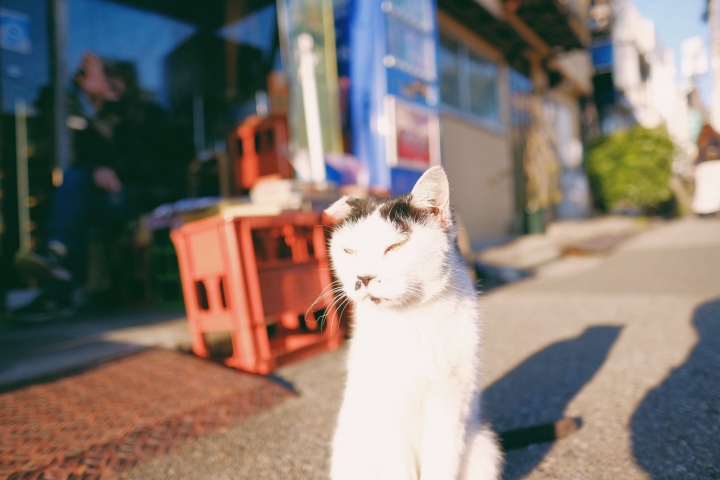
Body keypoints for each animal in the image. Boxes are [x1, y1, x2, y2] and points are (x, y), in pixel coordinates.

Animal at [324, 166, 500, 480]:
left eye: (396, 246)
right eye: (349, 251)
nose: (364, 277)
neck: (409, 320)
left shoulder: (450, 404)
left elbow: (441, 464)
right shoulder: (387, 415)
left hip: (483, 447)